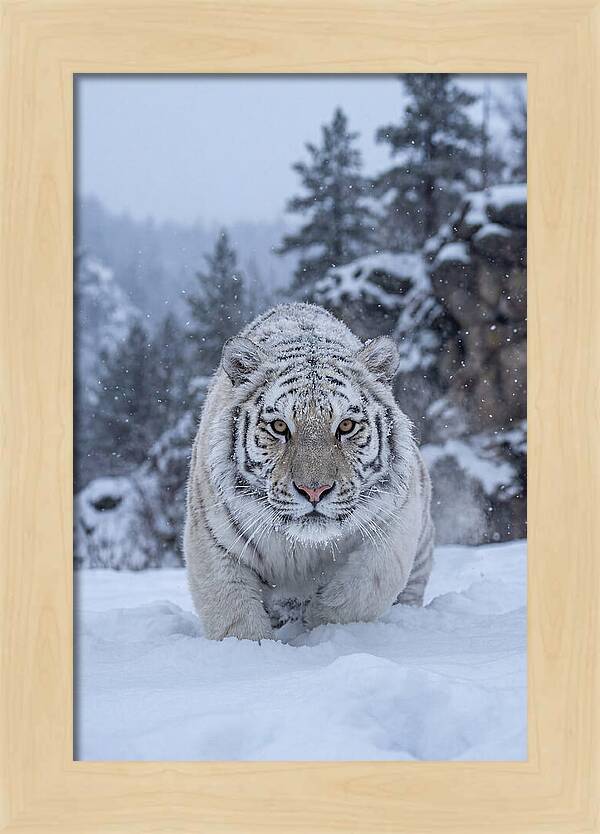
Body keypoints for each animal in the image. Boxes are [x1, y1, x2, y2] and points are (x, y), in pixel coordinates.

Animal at [184, 303, 434, 641]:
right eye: (279, 426)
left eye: (346, 425)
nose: (314, 490)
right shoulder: (213, 540)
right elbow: (234, 615)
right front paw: (254, 648)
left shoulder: (395, 522)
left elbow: (362, 589)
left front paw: (321, 624)